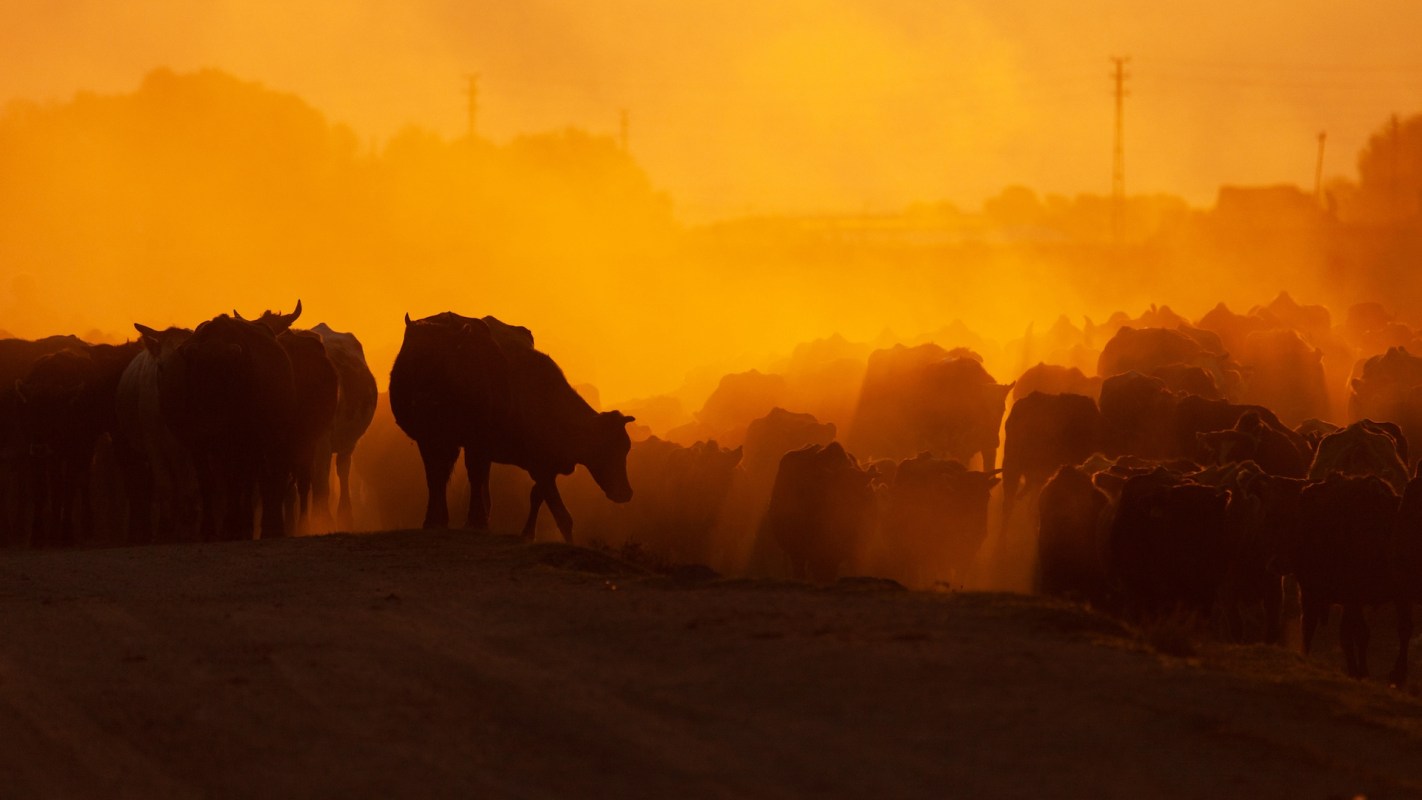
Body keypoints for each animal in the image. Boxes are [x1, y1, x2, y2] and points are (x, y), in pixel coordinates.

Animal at [389, 312, 634, 542]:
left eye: (625, 448)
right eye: (608, 448)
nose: (626, 493)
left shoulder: (543, 464)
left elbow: (536, 497)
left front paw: (526, 534)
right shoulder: (534, 463)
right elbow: (561, 514)